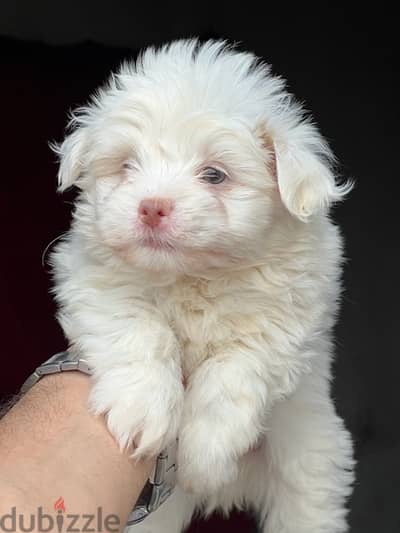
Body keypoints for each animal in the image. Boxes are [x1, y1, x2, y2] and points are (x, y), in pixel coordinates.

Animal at [51, 39, 354, 528]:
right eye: (128, 166)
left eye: (214, 175)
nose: (151, 207)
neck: (193, 275)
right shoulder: (92, 279)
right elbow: (141, 331)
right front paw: (142, 410)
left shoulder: (292, 315)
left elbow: (233, 370)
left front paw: (204, 457)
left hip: (311, 460)